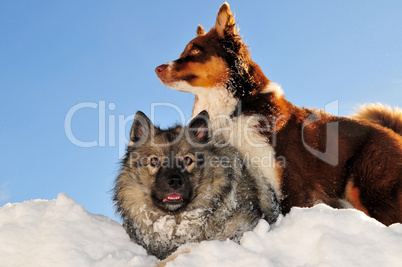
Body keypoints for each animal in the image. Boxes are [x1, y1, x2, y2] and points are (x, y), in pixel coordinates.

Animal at [156, 3, 402, 226]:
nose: (157, 68)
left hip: (367, 186)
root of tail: (392, 132)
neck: (236, 110)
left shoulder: (292, 187)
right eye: (183, 51)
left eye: (195, 50)